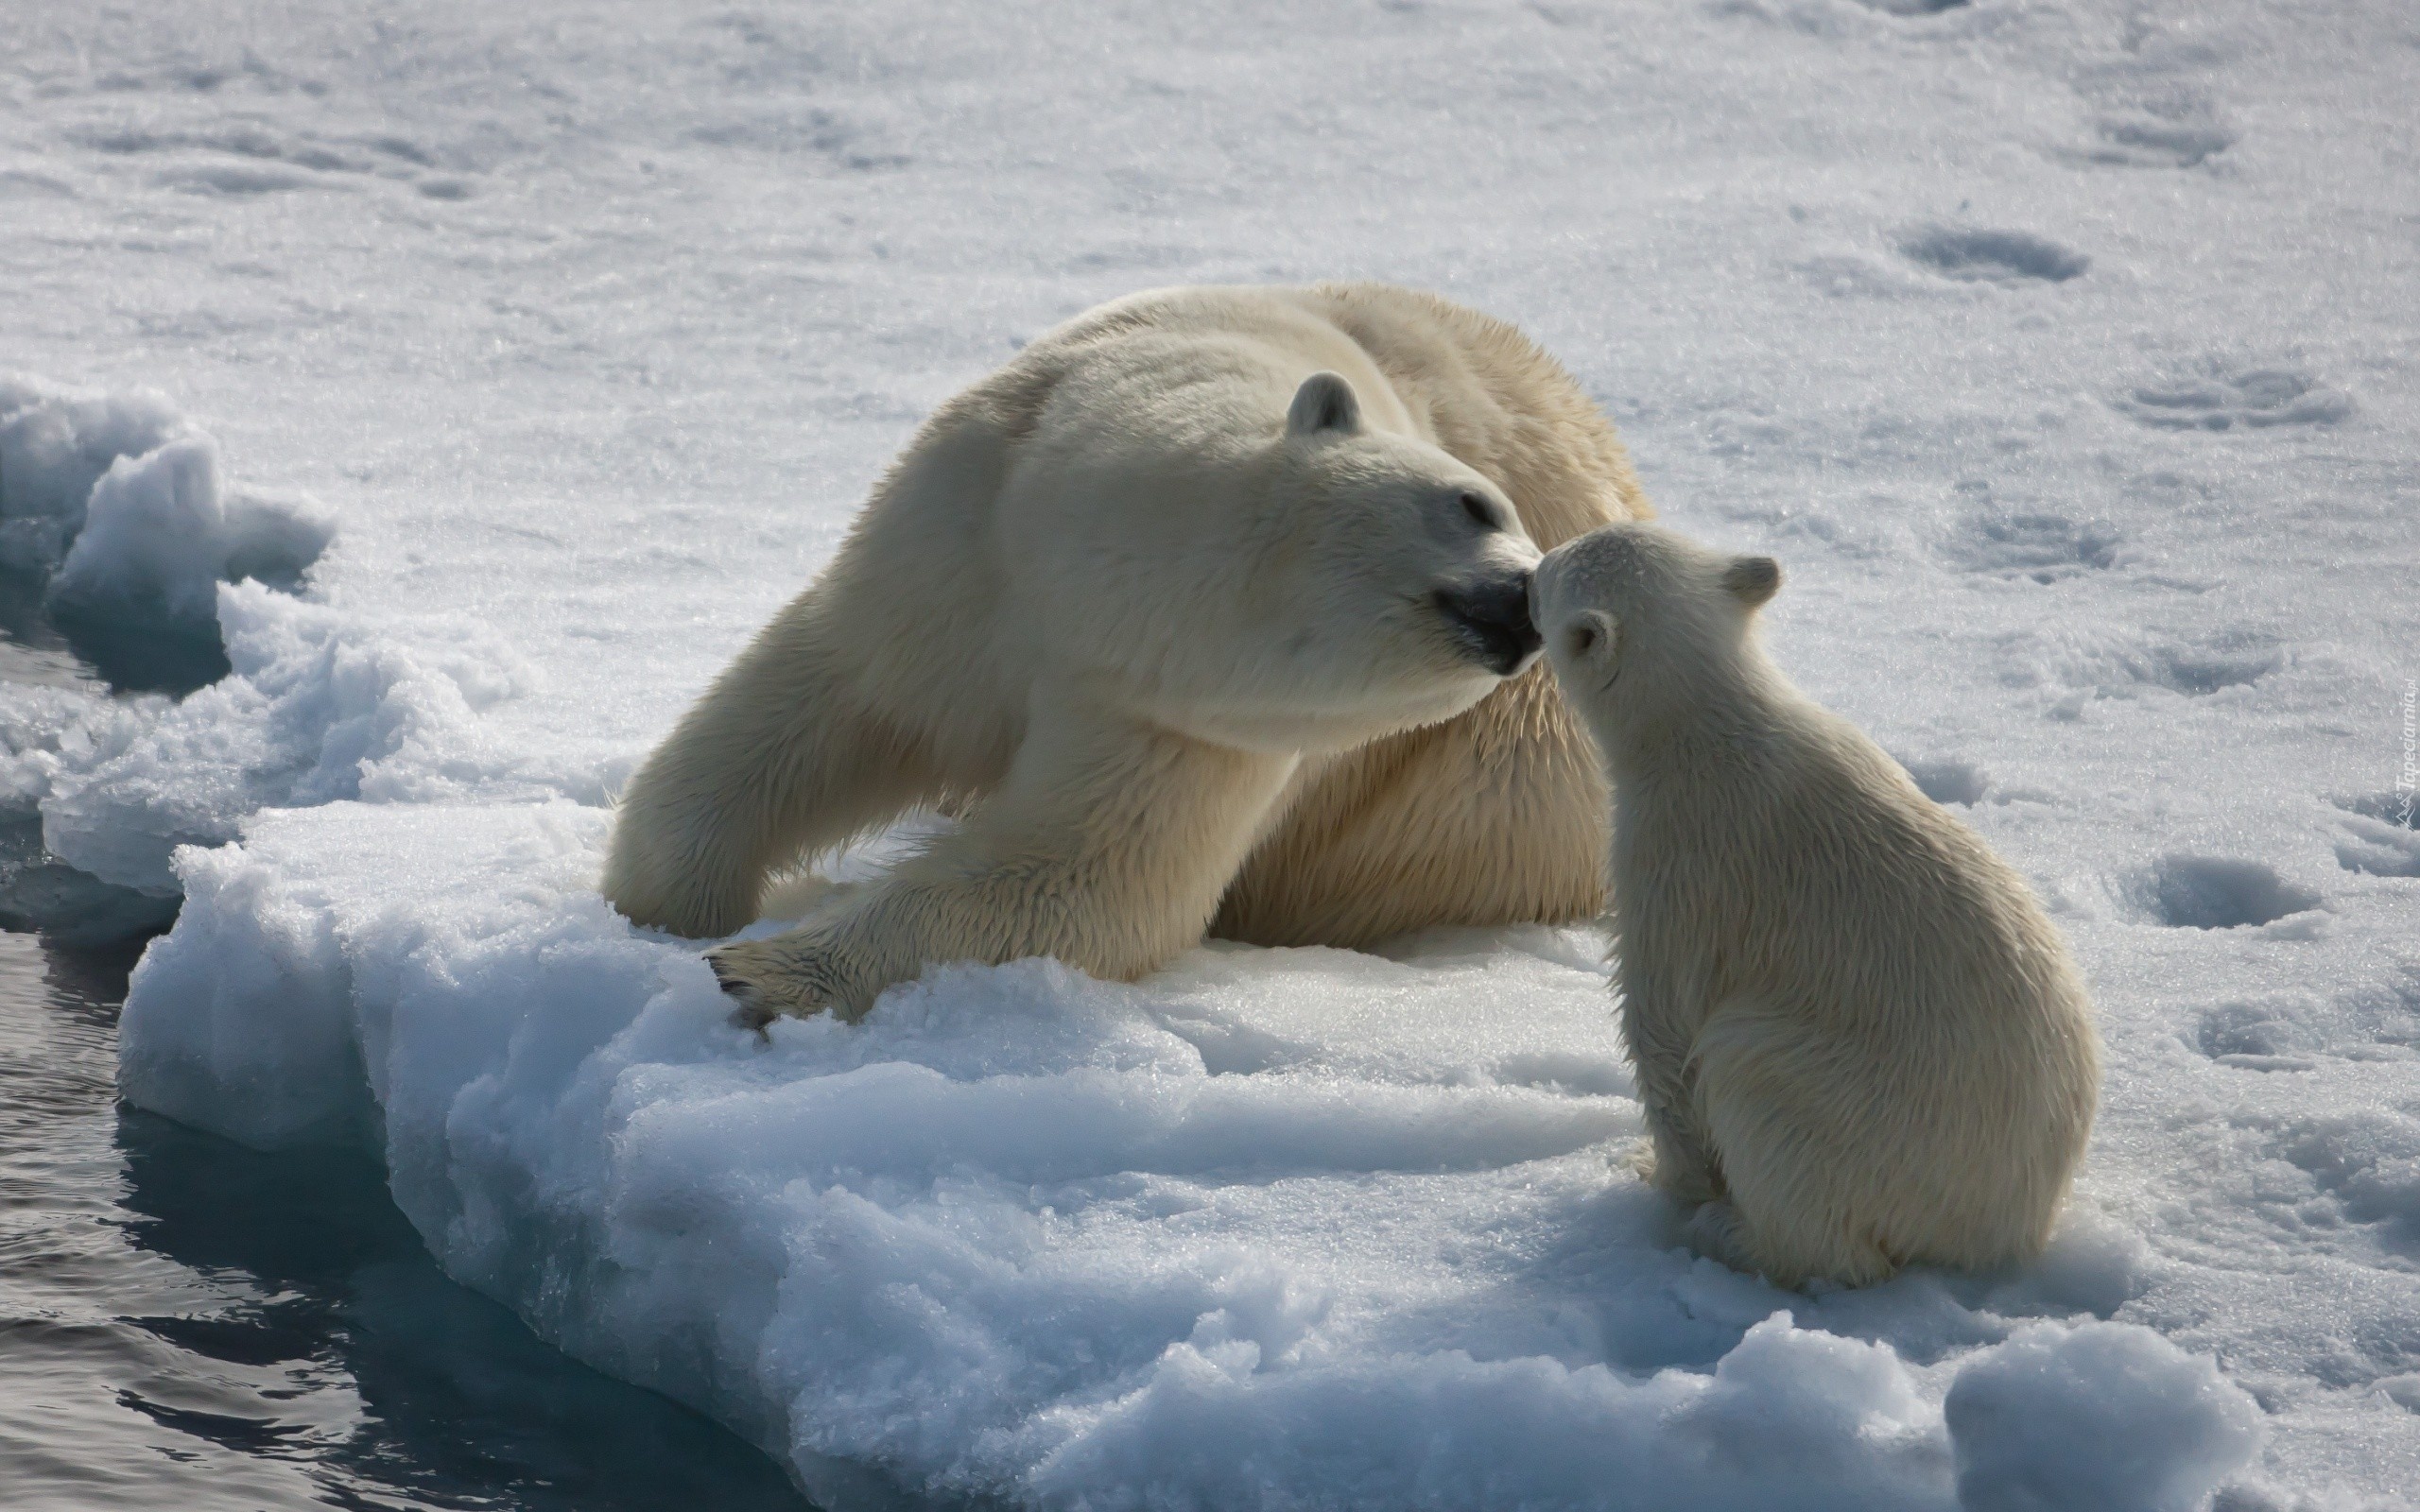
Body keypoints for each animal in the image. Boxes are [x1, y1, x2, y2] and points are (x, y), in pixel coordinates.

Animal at [614, 283, 1655, 1016]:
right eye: (1473, 502)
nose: (1525, 608)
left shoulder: (1181, 723)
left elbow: (1084, 877)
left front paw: (761, 967)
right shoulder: (964, 542)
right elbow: (830, 703)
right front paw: (665, 912)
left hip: (1499, 796)